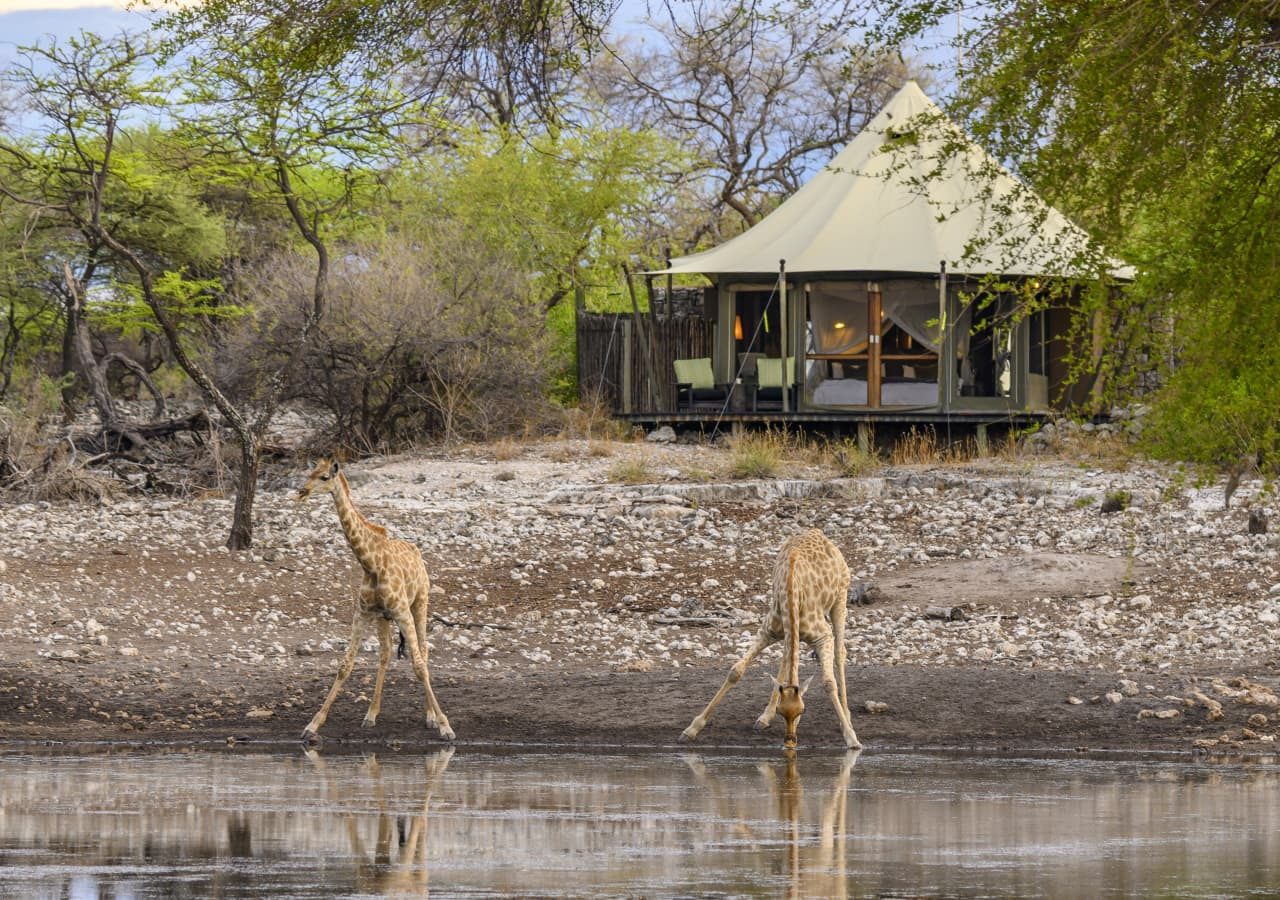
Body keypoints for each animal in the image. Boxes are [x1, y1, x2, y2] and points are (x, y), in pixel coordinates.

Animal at [294, 460, 455, 742]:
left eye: (324, 477)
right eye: (309, 474)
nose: (302, 492)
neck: (371, 564)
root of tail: (417, 551)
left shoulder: (402, 611)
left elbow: (419, 665)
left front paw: (445, 726)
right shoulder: (363, 613)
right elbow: (345, 665)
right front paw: (313, 725)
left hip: (420, 603)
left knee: (423, 651)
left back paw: (429, 717)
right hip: (384, 617)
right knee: (386, 653)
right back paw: (371, 714)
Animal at [680, 527, 860, 752]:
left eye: (802, 710)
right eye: (782, 712)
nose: (790, 742)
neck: (792, 595)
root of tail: (818, 532)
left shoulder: (822, 636)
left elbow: (828, 682)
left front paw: (852, 739)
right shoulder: (769, 630)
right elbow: (736, 671)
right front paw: (691, 729)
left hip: (841, 596)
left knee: (840, 652)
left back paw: (847, 717)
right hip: (792, 630)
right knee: (788, 660)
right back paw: (765, 717)